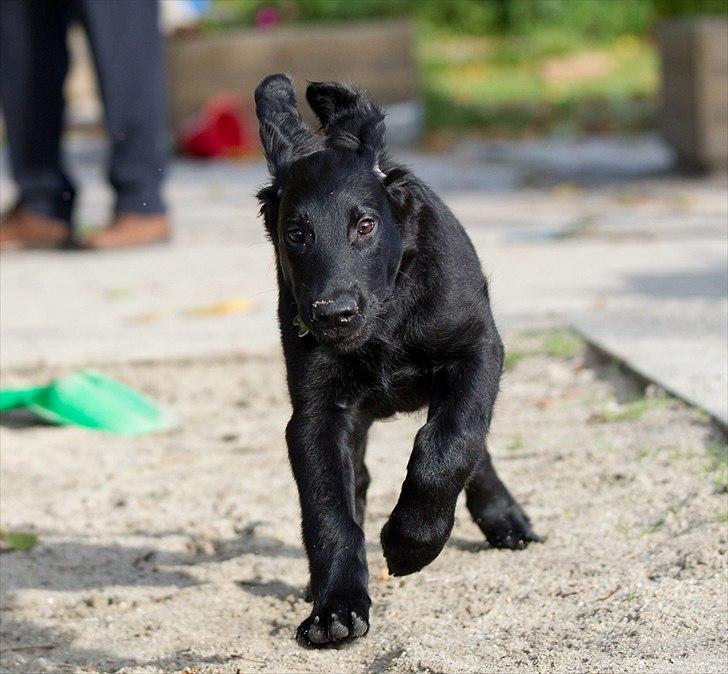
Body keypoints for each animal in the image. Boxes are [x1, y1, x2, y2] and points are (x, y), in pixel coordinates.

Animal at [253, 73, 536, 644]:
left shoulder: (478, 351)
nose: (334, 314)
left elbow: (449, 446)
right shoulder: (315, 415)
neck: (385, 321)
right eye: (296, 234)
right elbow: (328, 510)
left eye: (364, 226)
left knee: (471, 447)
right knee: (357, 483)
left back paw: (504, 518)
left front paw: (411, 543)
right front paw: (336, 608)